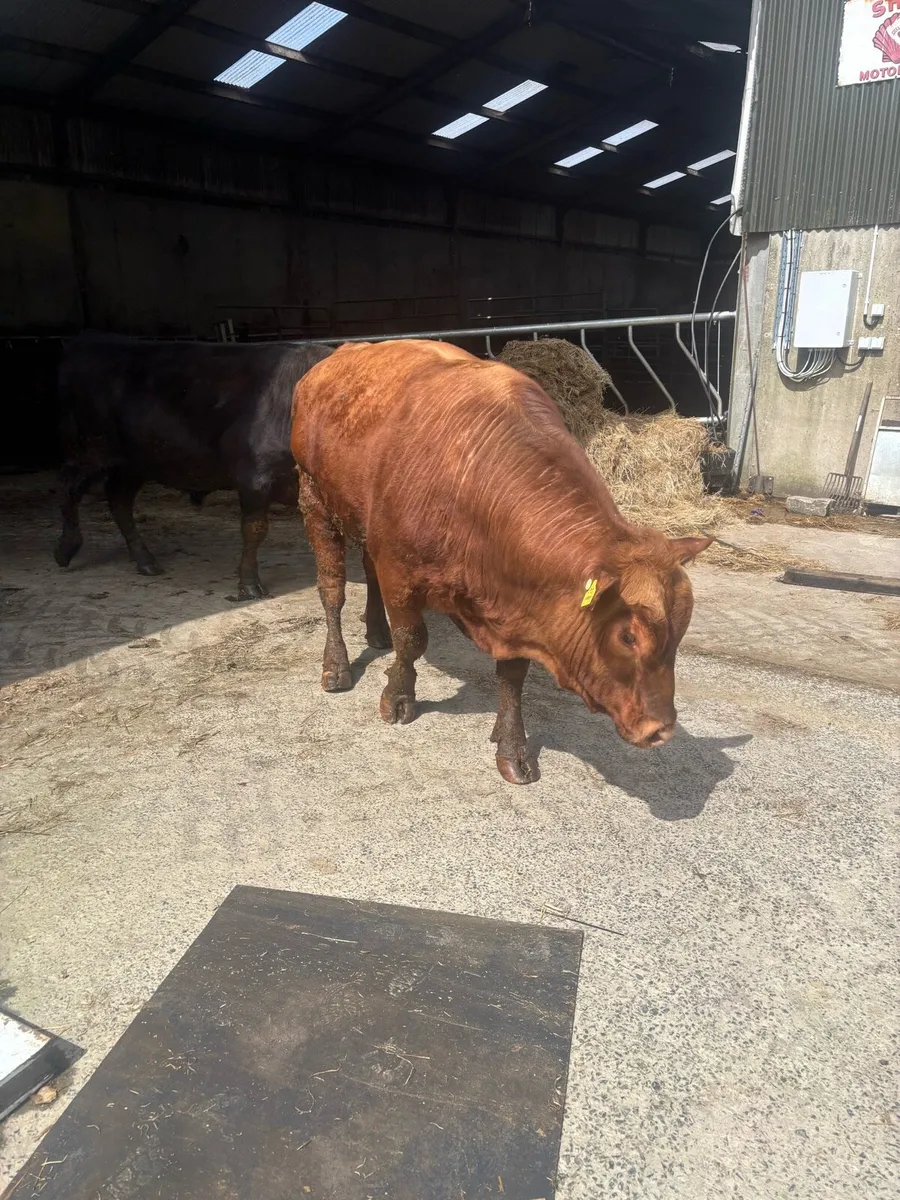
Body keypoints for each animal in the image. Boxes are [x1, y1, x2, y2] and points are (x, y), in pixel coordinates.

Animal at [53, 336, 389, 620]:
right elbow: (255, 529)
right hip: (89, 449)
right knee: (68, 485)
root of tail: (83, 345)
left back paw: (146, 561)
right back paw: (66, 548)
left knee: (118, 501)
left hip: (134, 463)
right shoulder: (254, 478)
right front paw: (249, 584)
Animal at [291, 339, 711, 784]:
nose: (661, 729)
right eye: (628, 636)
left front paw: (510, 746)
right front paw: (398, 697)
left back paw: (375, 630)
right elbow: (412, 640)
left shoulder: (516, 604)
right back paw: (336, 666)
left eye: (681, 632)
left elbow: (512, 676)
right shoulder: (399, 570)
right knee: (332, 590)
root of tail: (338, 356)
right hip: (314, 497)